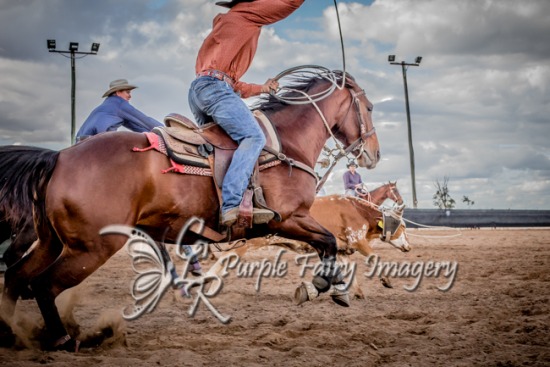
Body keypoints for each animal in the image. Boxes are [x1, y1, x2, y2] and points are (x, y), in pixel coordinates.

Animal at [0, 71, 380, 350]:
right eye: (370, 107)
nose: (373, 153)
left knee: (17, 277)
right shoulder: (289, 219)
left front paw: (329, 286)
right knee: (42, 284)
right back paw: (63, 339)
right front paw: (326, 286)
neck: (285, 143)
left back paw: (10, 334)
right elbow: (328, 241)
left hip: (52, 242)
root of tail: (59, 157)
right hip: (90, 248)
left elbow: (327, 244)